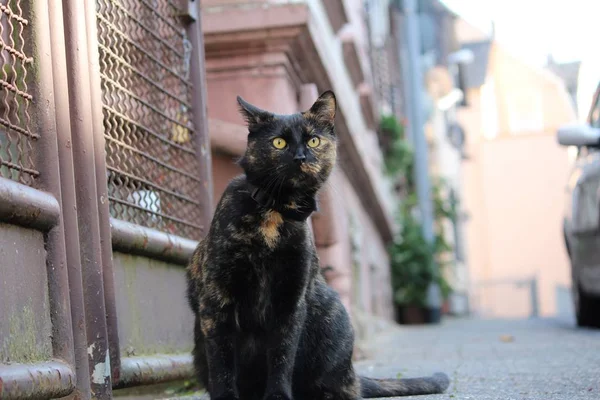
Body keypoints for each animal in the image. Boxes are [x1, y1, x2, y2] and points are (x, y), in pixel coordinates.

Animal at [188, 92, 450, 398]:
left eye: (314, 140)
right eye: (279, 142)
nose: (300, 156)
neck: (276, 212)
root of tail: (352, 375)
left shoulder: (291, 299)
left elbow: (282, 355)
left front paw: (278, 396)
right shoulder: (216, 299)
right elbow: (222, 362)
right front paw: (226, 395)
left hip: (329, 310)